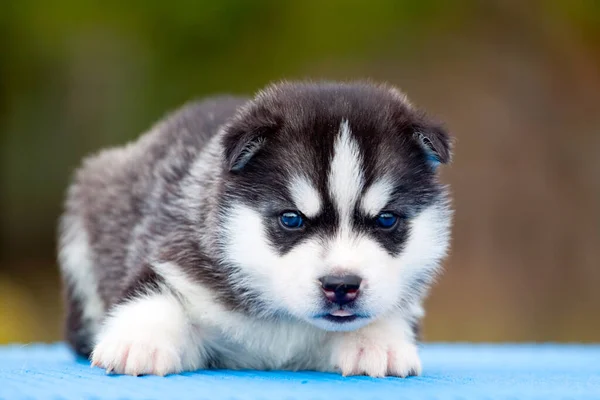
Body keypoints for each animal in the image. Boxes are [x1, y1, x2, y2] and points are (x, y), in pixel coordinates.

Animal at [58, 80, 452, 378]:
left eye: (386, 220)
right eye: (291, 219)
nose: (342, 285)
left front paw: (376, 340)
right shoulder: (178, 260)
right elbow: (156, 293)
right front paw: (141, 340)